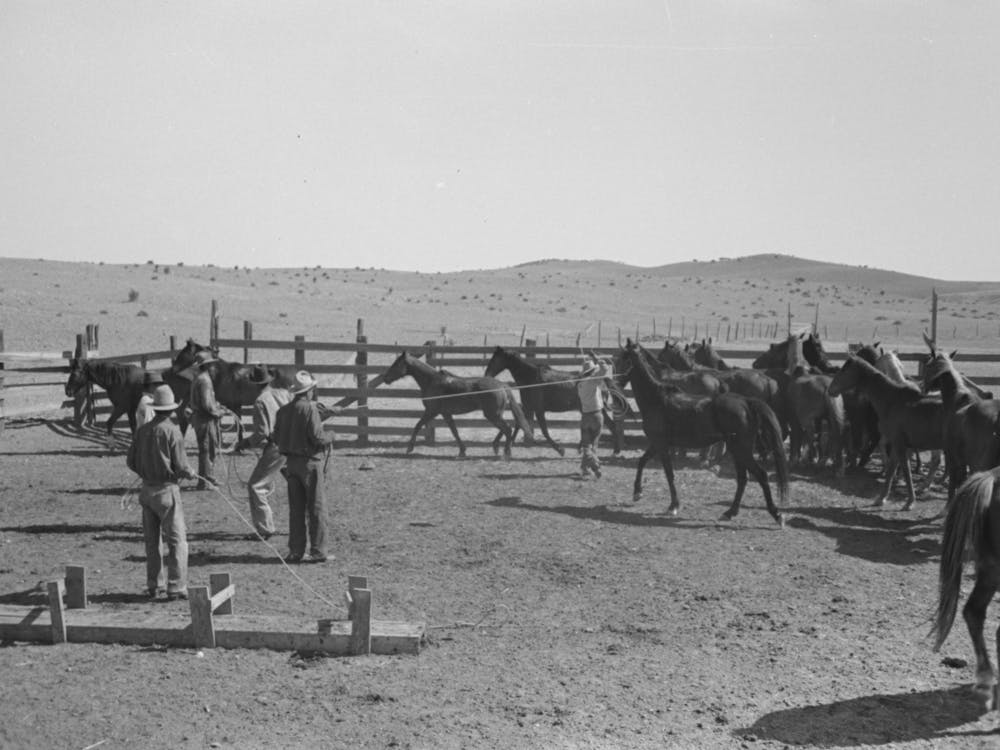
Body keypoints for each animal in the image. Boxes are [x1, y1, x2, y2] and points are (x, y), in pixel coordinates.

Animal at [383, 351, 533, 458]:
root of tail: (502, 385)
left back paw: (506, 452)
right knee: (506, 427)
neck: (432, 381)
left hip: (492, 414)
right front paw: (462, 450)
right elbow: (454, 430)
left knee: (507, 428)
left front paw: (409, 448)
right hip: (495, 414)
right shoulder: (445, 413)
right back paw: (497, 447)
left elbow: (418, 425)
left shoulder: (432, 411)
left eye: (396, 364)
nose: (385, 379)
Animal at [483, 346, 627, 456]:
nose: (487, 374)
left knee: (611, 426)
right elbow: (519, 423)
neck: (530, 378)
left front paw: (560, 450)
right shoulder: (528, 407)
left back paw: (615, 451)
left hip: (596, 409)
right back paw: (585, 449)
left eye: (495, 359)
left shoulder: (538, 410)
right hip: (588, 409)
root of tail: (601, 380)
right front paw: (505, 445)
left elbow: (544, 431)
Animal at [618, 339, 788, 525]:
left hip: (741, 450)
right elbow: (642, 461)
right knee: (743, 478)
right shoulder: (657, 444)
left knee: (760, 475)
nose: (614, 383)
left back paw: (777, 515)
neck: (656, 399)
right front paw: (637, 493)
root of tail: (746, 403)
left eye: (621, 358)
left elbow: (668, 473)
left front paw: (673, 506)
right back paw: (730, 512)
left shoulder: (661, 445)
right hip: (738, 450)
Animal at [828, 355, 945, 509]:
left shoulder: (900, 445)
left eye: (844, 370)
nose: (830, 389)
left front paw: (910, 502)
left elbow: (905, 471)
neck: (892, 400)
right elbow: (891, 470)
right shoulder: (895, 444)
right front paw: (881, 498)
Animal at [921, 340, 1000, 502]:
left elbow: (954, 482)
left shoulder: (953, 456)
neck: (957, 400)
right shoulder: (962, 459)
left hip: (979, 466)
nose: (923, 387)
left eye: (928, 365)